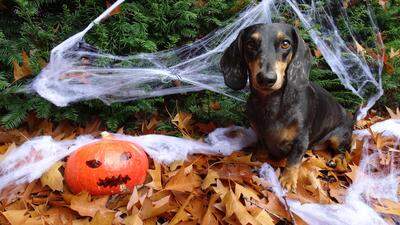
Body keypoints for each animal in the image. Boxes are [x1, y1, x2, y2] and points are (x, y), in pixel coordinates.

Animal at [220, 22, 354, 192]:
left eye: (285, 43)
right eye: (250, 43)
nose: (266, 78)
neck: (271, 104)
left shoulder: (301, 140)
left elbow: (293, 160)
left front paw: (288, 180)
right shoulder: (260, 135)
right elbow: (261, 149)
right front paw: (257, 161)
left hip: (338, 137)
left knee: (344, 152)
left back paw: (335, 160)